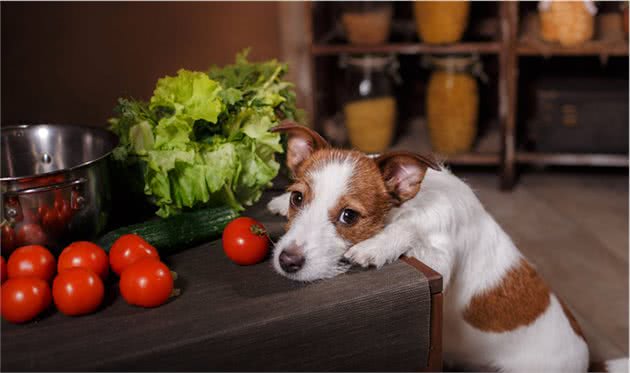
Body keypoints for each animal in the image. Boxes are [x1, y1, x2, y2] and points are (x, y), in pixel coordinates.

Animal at [270, 122, 628, 372]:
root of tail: (588, 361)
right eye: (297, 197)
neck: (412, 204)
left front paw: (378, 245)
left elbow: (411, 229)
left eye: (349, 216)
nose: (287, 261)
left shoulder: (440, 259)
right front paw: (277, 203)